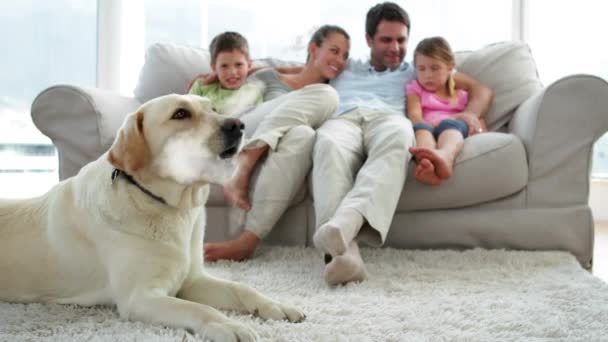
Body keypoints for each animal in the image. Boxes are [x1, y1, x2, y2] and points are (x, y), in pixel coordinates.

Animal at [0, 94, 304, 342]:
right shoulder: (140, 297)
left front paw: (276, 306)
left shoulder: (193, 280)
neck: (173, 207)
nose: (238, 125)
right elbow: (198, 309)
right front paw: (230, 326)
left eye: (214, 109)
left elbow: (241, 287)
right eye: (180, 114)